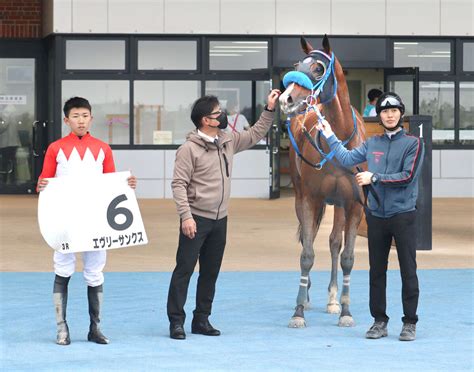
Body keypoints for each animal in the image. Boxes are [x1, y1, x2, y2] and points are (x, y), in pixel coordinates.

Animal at [278, 35, 366, 328]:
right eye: (297, 65)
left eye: (318, 68)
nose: (286, 98)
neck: (338, 140)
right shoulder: (309, 199)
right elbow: (306, 254)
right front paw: (298, 311)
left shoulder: (354, 204)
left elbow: (347, 256)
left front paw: (346, 312)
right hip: (303, 199)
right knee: (312, 240)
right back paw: (306, 297)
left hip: (338, 204)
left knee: (334, 243)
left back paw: (333, 299)